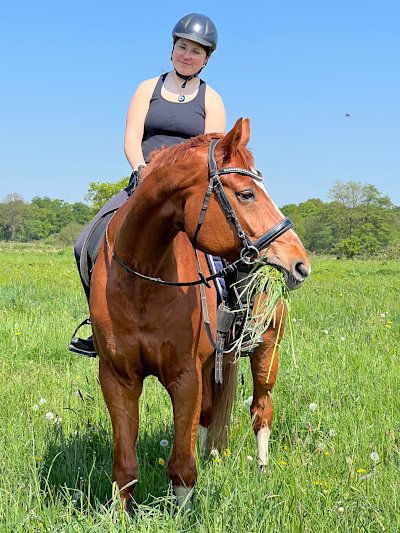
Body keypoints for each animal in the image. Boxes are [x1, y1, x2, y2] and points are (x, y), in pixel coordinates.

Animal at [90, 118, 310, 510]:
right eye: (246, 194)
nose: (300, 263)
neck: (142, 278)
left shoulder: (185, 377)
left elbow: (181, 467)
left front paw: (183, 513)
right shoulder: (117, 377)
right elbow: (125, 468)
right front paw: (118, 515)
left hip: (268, 352)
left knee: (261, 410)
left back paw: (262, 469)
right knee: (209, 415)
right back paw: (212, 458)